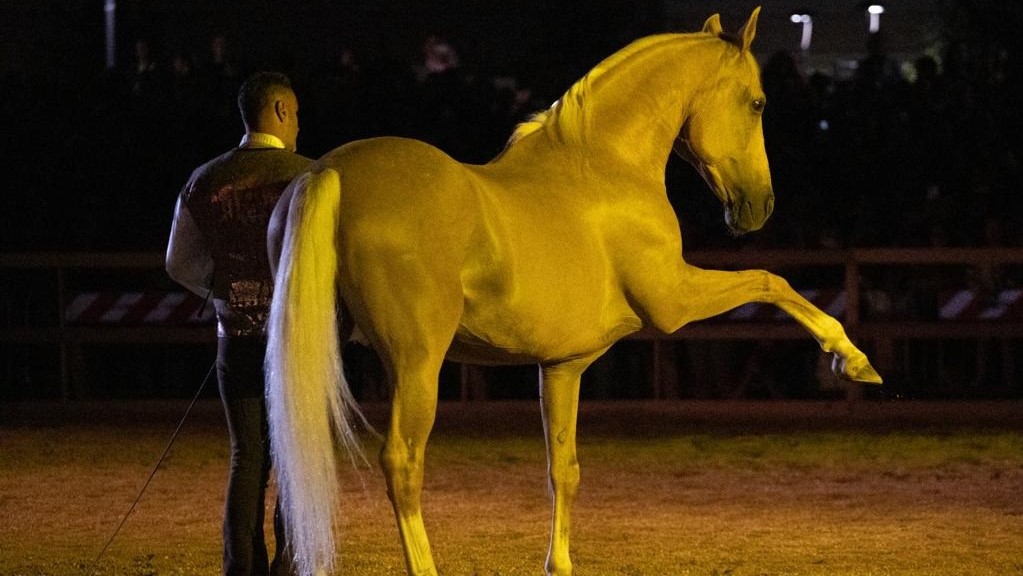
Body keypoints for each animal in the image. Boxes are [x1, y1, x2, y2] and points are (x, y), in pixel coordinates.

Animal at [265, 8, 881, 576]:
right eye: (758, 103)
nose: (760, 207)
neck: (604, 166)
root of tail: (329, 172)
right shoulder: (676, 303)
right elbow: (773, 281)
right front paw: (852, 359)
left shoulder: (562, 367)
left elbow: (563, 468)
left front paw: (558, 562)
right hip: (416, 366)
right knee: (401, 463)